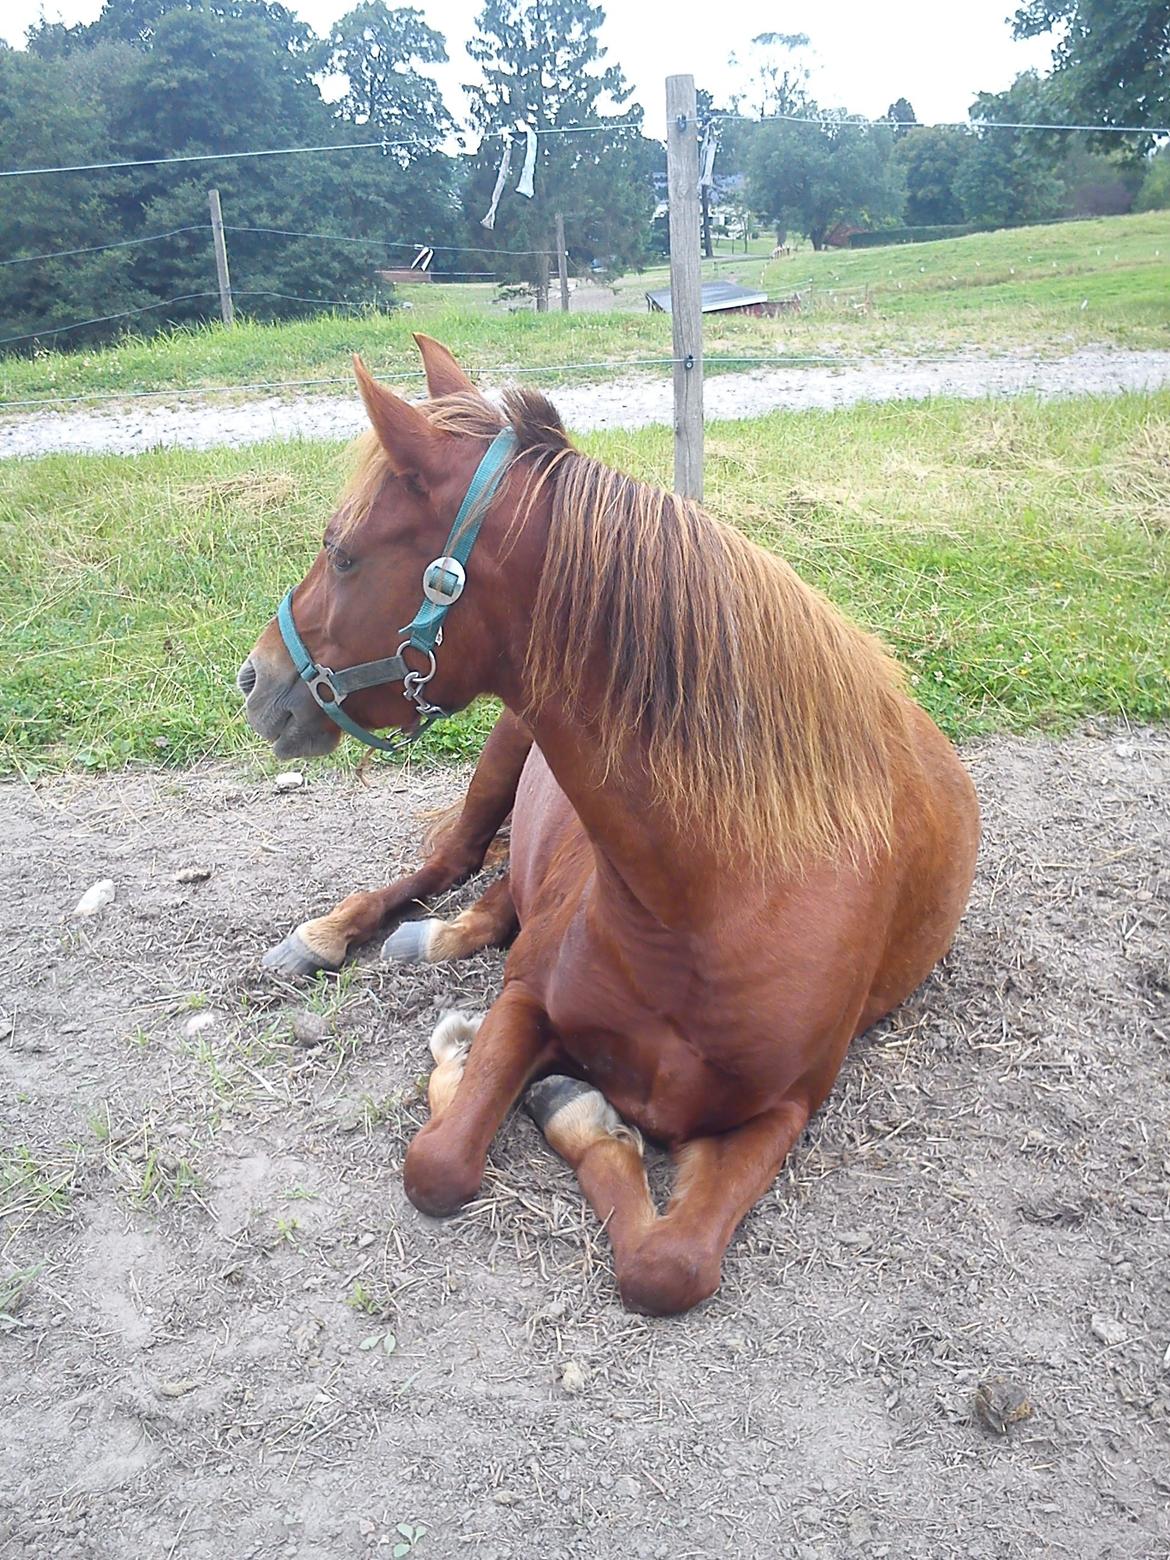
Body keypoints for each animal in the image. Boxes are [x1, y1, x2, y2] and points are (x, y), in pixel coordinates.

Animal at [238, 333, 980, 1315]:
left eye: (345, 553)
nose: (254, 678)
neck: (712, 908)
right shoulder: (524, 1000)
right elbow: (439, 1162)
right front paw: (478, 1074)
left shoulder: (782, 1110)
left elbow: (667, 1267)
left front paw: (566, 1106)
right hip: (498, 763)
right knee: (446, 865)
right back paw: (328, 935)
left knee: (493, 900)